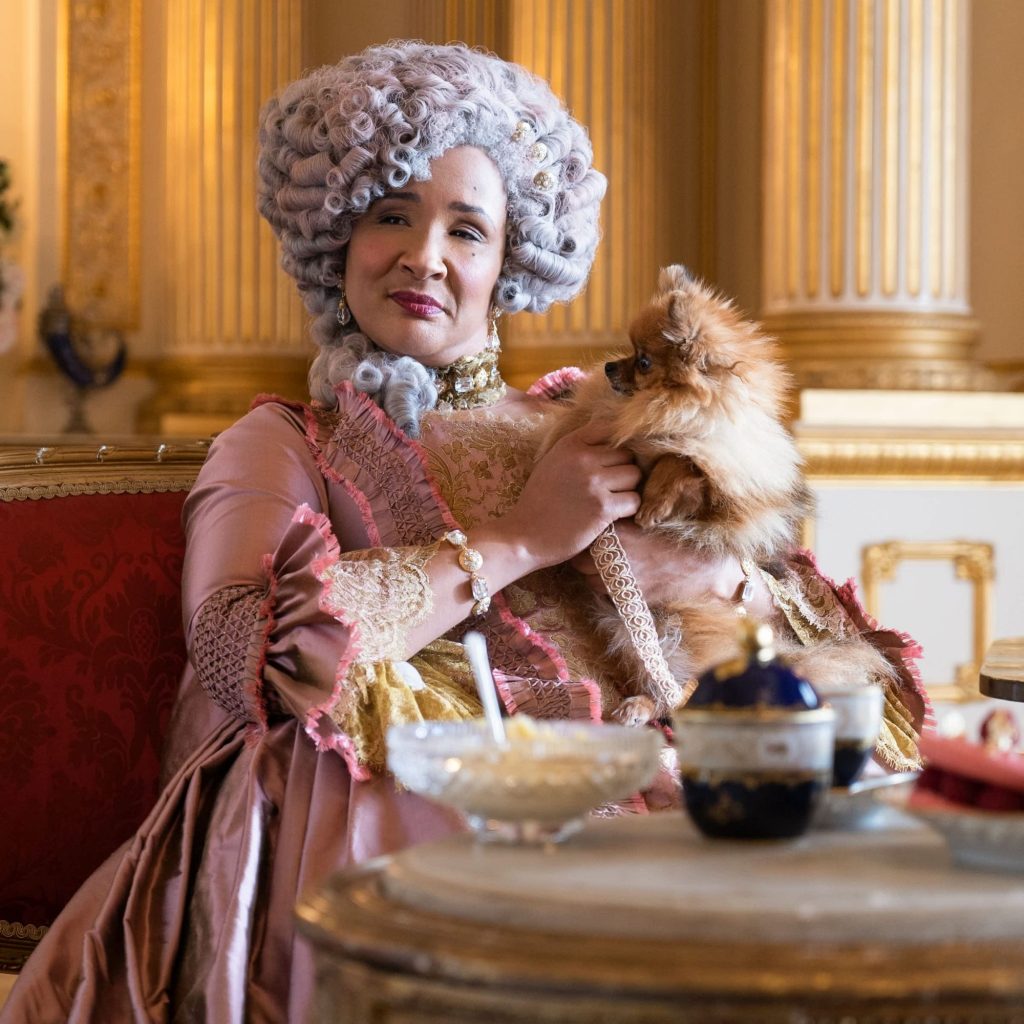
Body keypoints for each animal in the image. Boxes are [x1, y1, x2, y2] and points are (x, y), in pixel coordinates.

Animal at [540, 265, 896, 724]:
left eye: (643, 361)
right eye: (630, 351)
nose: (609, 367)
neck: (680, 411)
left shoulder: (724, 497)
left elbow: (682, 464)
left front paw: (654, 503)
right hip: (638, 630)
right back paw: (638, 705)